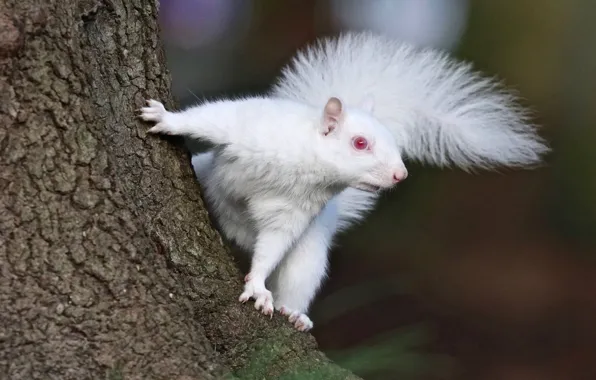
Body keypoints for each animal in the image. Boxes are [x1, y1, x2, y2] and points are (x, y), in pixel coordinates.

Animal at [140, 31, 548, 332]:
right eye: (360, 143)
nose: (400, 174)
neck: (307, 165)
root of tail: (234, 235)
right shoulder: (248, 126)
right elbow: (211, 119)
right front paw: (165, 118)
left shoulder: (295, 212)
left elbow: (273, 245)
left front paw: (257, 285)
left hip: (310, 253)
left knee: (296, 277)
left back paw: (294, 314)